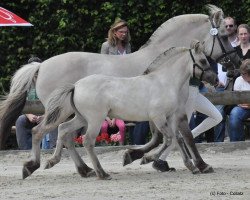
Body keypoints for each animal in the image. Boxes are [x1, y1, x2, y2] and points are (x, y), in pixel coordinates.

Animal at [0, 5, 239, 178]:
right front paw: (197, 164)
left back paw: (84, 169)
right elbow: (181, 136)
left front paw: (139, 156)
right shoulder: (173, 109)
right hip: (65, 111)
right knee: (58, 134)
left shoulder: (168, 110)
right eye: (224, 36)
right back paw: (40, 165)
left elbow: (168, 137)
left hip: (74, 113)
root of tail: (40, 66)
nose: (235, 63)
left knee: (65, 134)